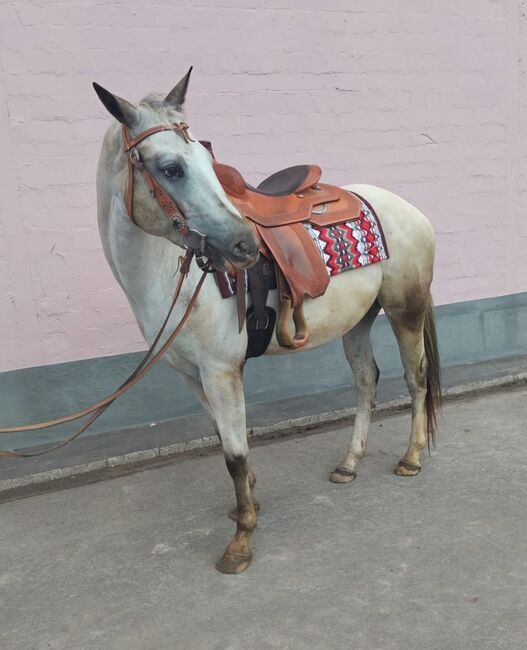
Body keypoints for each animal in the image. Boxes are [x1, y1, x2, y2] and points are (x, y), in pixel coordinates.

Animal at [95, 68, 442, 568]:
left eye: (207, 156)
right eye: (170, 168)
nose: (244, 246)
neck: (170, 271)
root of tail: (408, 209)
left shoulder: (222, 372)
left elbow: (234, 454)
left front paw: (241, 540)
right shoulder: (191, 374)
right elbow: (223, 439)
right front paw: (250, 503)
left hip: (404, 310)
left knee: (416, 377)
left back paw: (410, 458)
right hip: (358, 320)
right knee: (366, 380)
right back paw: (349, 463)